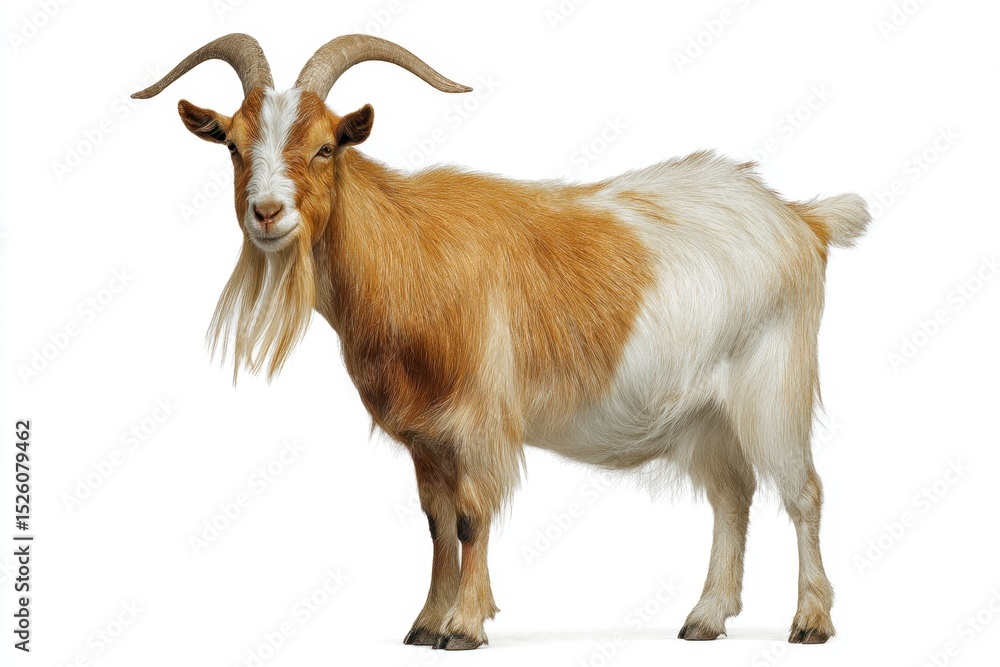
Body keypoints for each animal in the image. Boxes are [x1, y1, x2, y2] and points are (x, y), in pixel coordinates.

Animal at [133, 33, 869, 649]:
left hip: (774, 385)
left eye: (325, 145)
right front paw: (424, 623)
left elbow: (471, 516)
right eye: (233, 145)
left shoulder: (479, 419)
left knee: (802, 491)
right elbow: (435, 521)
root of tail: (801, 220)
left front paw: (463, 626)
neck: (408, 251)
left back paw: (810, 621)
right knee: (731, 496)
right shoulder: (426, 435)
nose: (267, 213)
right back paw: (705, 618)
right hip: (707, 412)